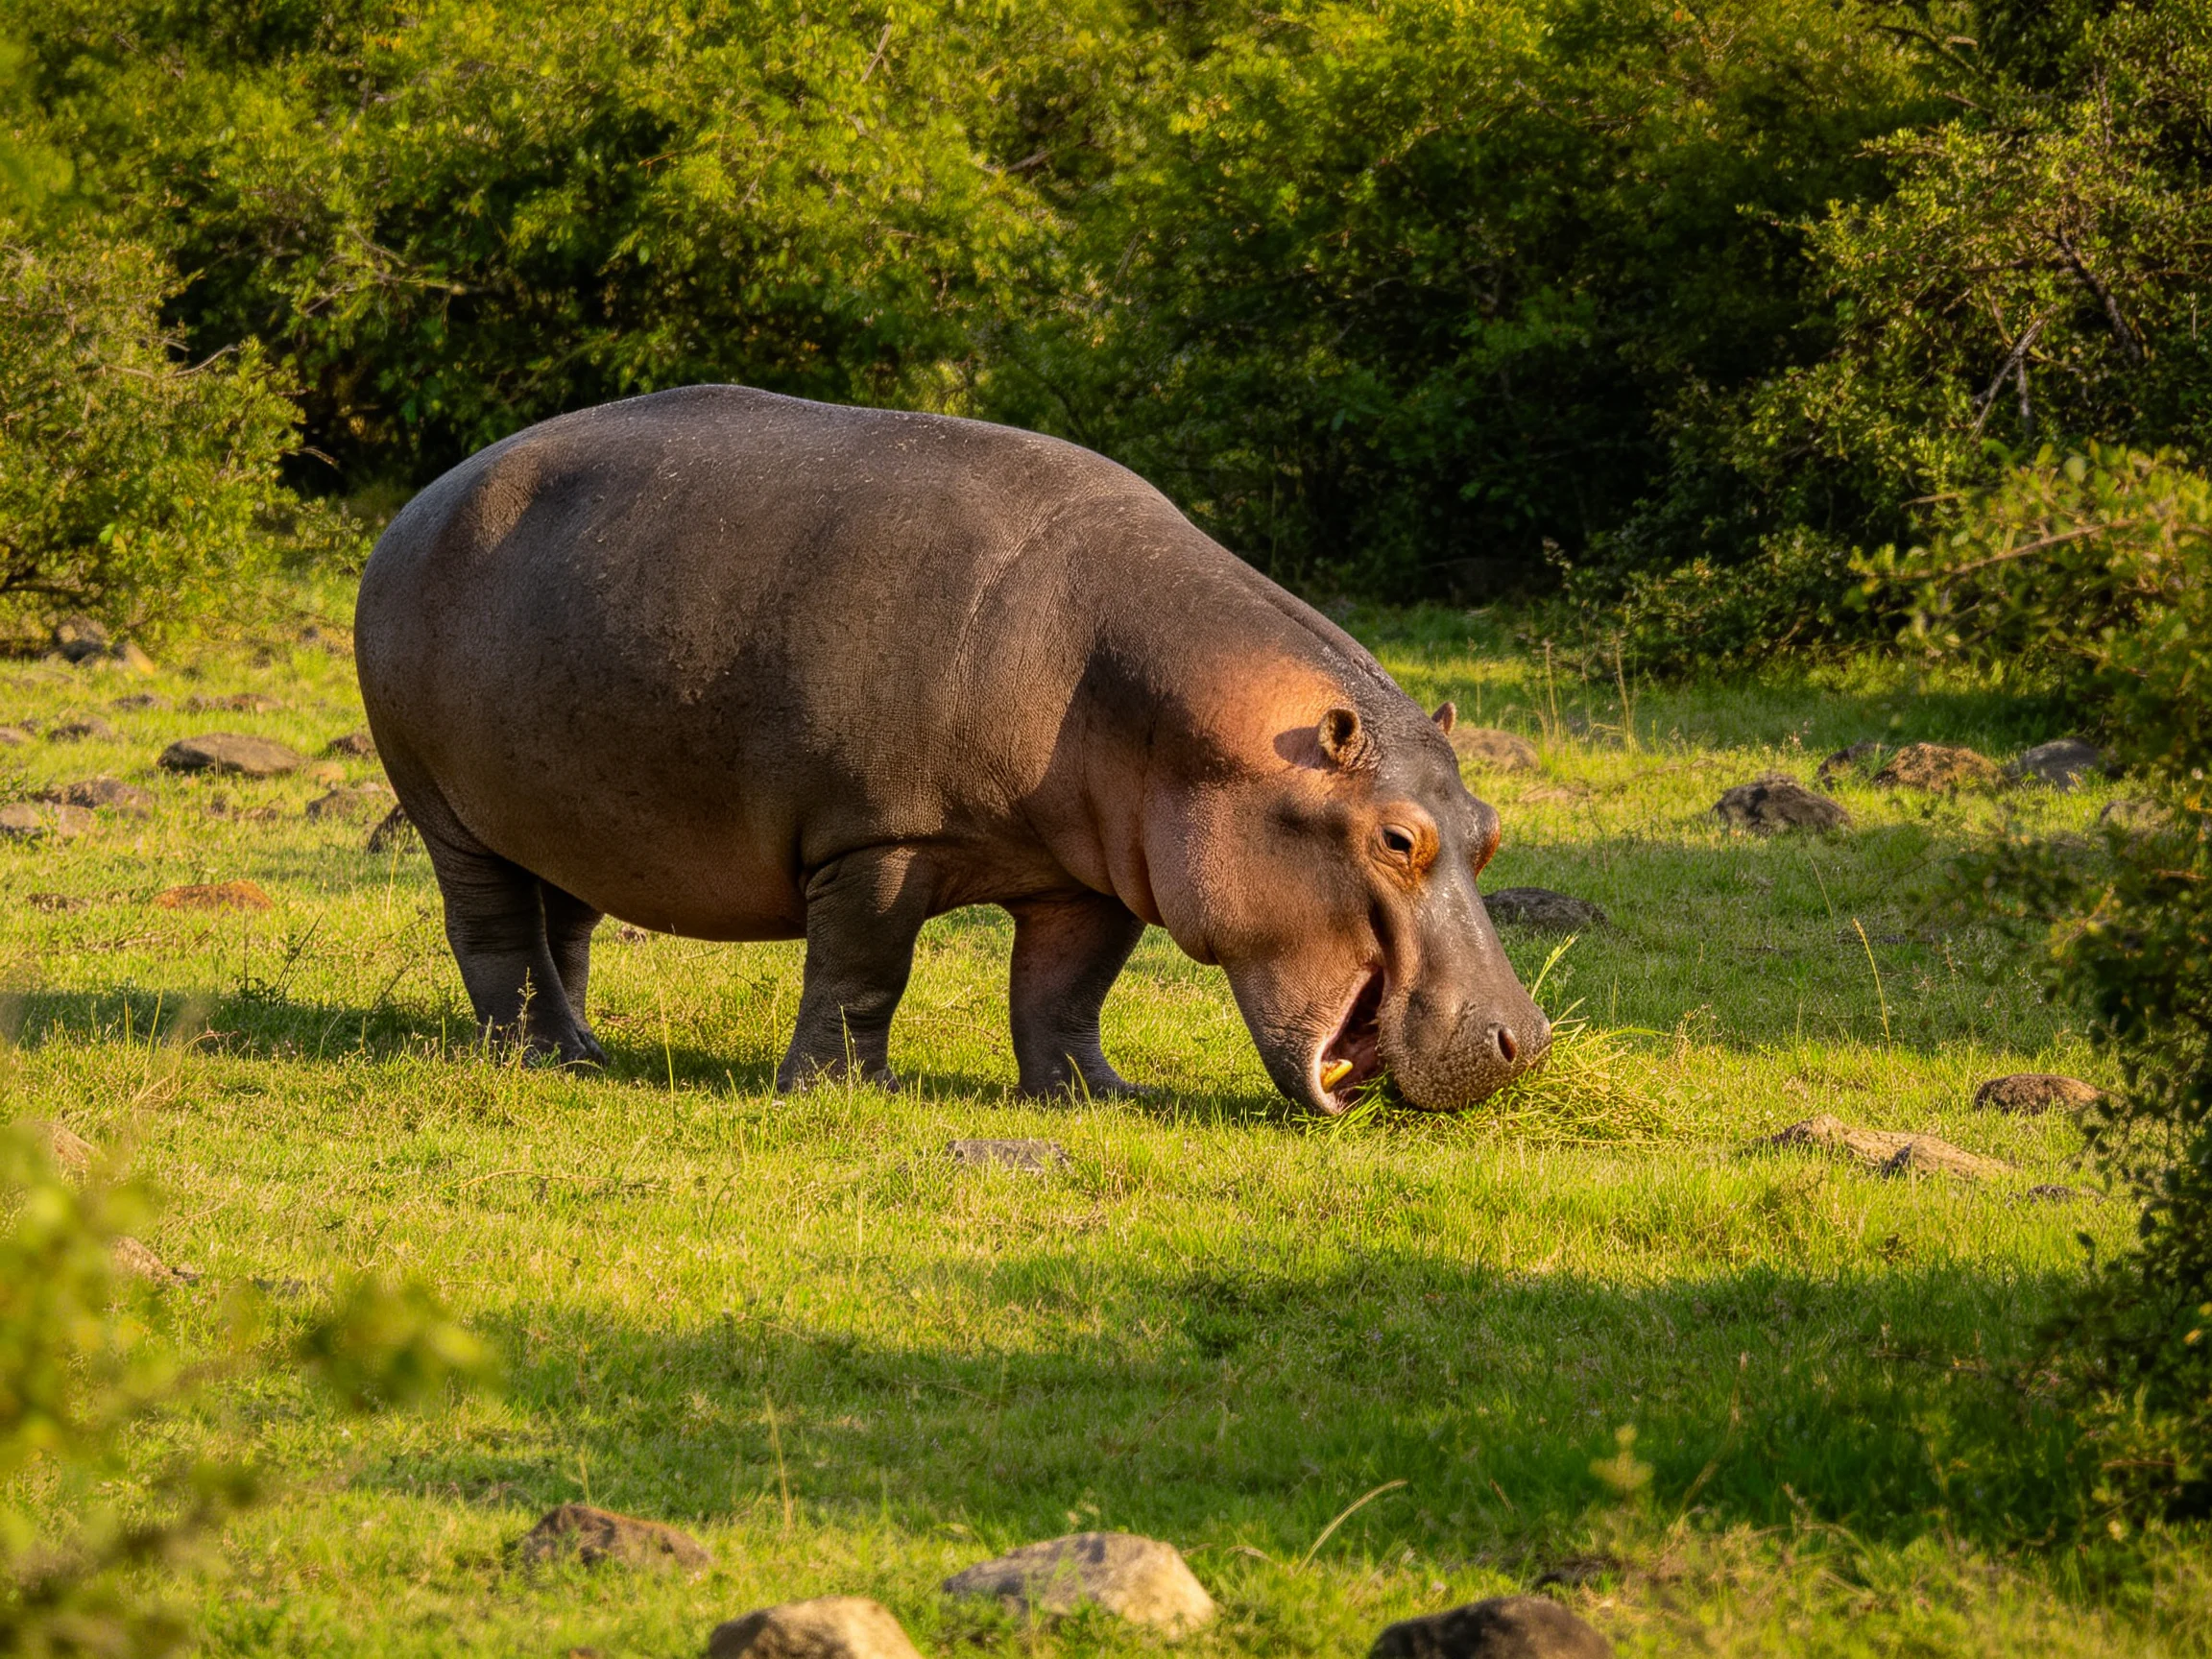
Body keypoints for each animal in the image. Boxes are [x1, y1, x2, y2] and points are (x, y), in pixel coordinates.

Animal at [355, 387, 1549, 1112]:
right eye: (1396, 839)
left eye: (1488, 830)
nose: (1524, 1044)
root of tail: (423, 500)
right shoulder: (877, 840)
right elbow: (863, 972)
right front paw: (845, 1094)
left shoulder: (1092, 872)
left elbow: (1066, 991)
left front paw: (1097, 1097)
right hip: (445, 809)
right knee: (492, 933)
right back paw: (543, 1056)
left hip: (558, 809)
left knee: (563, 922)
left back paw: (593, 1048)